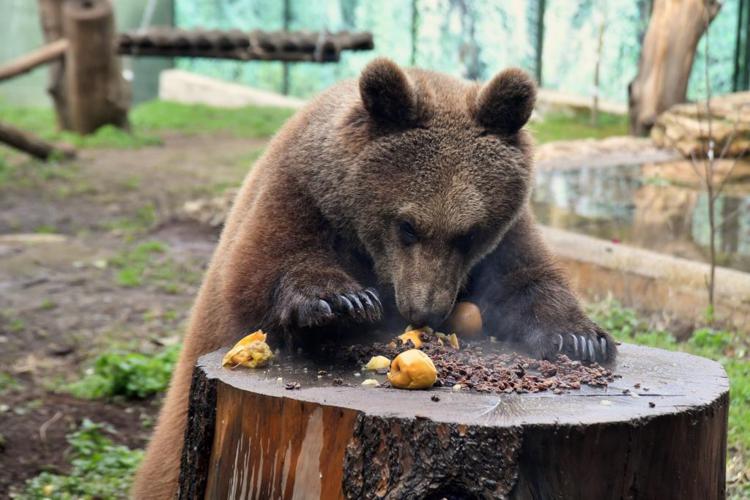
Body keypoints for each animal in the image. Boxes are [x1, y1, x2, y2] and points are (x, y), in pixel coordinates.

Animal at [134, 59, 616, 500]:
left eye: (469, 233)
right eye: (407, 225)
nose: (425, 308)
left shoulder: (504, 241)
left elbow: (527, 279)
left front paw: (580, 338)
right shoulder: (297, 195)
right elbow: (265, 268)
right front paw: (344, 304)